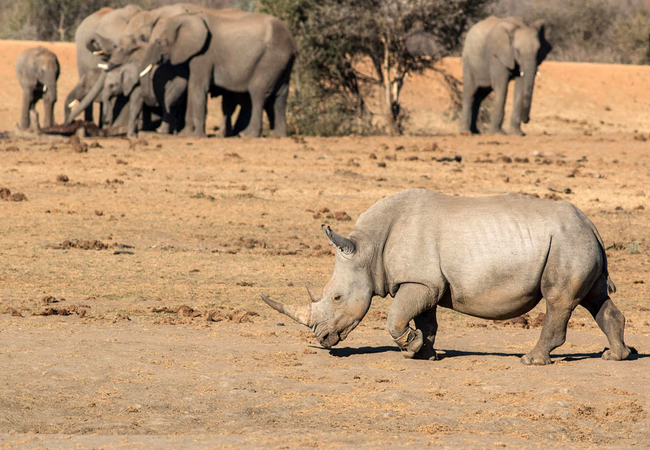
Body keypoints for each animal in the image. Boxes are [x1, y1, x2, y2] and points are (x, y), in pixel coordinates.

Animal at [139, 10, 298, 137]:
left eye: (159, 42)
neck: (183, 17)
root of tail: (293, 41)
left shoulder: (204, 54)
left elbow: (197, 87)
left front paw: (196, 136)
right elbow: (191, 87)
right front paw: (186, 135)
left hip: (270, 59)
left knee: (258, 93)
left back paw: (246, 135)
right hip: (282, 62)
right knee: (280, 96)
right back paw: (278, 136)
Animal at [260, 190, 632, 366]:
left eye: (337, 297)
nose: (321, 339)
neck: (367, 247)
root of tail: (591, 224)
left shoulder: (419, 282)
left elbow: (396, 317)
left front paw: (410, 347)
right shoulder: (425, 282)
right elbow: (425, 320)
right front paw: (424, 353)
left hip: (567, 242)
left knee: (559, 299)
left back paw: (531, 360)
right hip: (575, 241)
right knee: (596, 298)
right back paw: (615, 356)